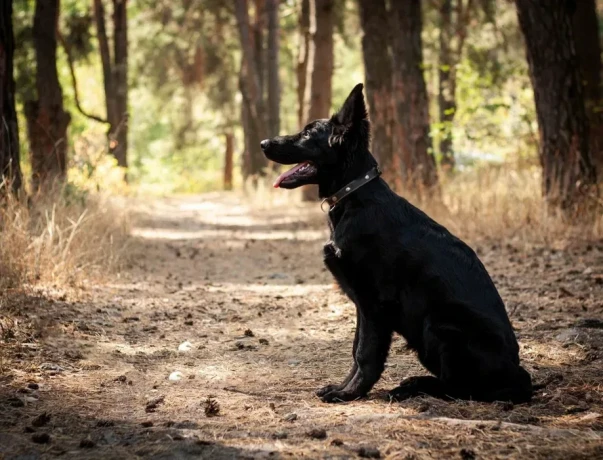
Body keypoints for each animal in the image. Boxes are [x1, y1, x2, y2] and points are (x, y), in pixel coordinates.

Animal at [260, 84, 532, 404]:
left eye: (307, 133)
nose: (263, 143)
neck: (354, 197)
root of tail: (518, 374)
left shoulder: (374, 302)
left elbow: (365, 353)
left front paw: (349, 393)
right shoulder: (362, 304)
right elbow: (356, 349)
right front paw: (344, 387)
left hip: (440, 324)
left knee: (460, 387)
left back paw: (413, 386)